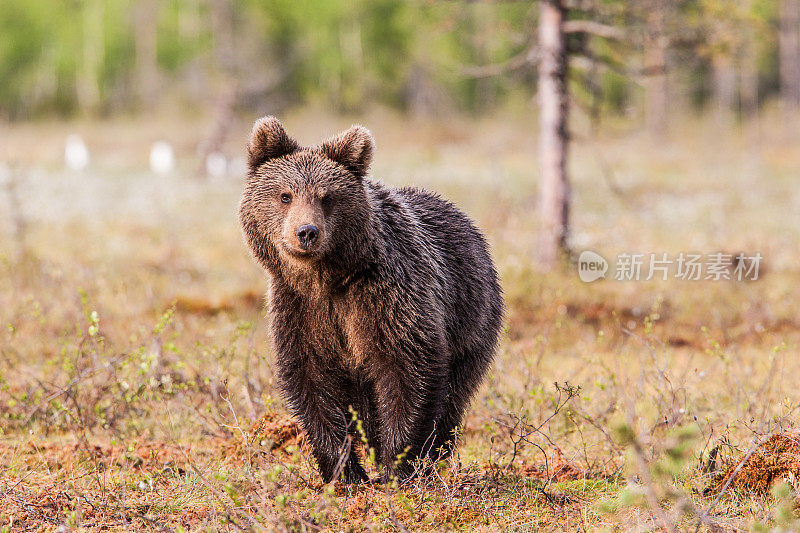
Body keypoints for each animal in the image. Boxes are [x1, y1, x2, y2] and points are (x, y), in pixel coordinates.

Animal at [238, 117, 504, 482]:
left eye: (327, 197)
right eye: (284, 195)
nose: (306, 232)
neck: (327, 279)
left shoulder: (386, 297)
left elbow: (407, 369)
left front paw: (397, 465)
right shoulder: (300, 309)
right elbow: (312, 380)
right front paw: (344, 471)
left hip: (472, 321)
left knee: (453, 396)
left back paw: (433, 457)